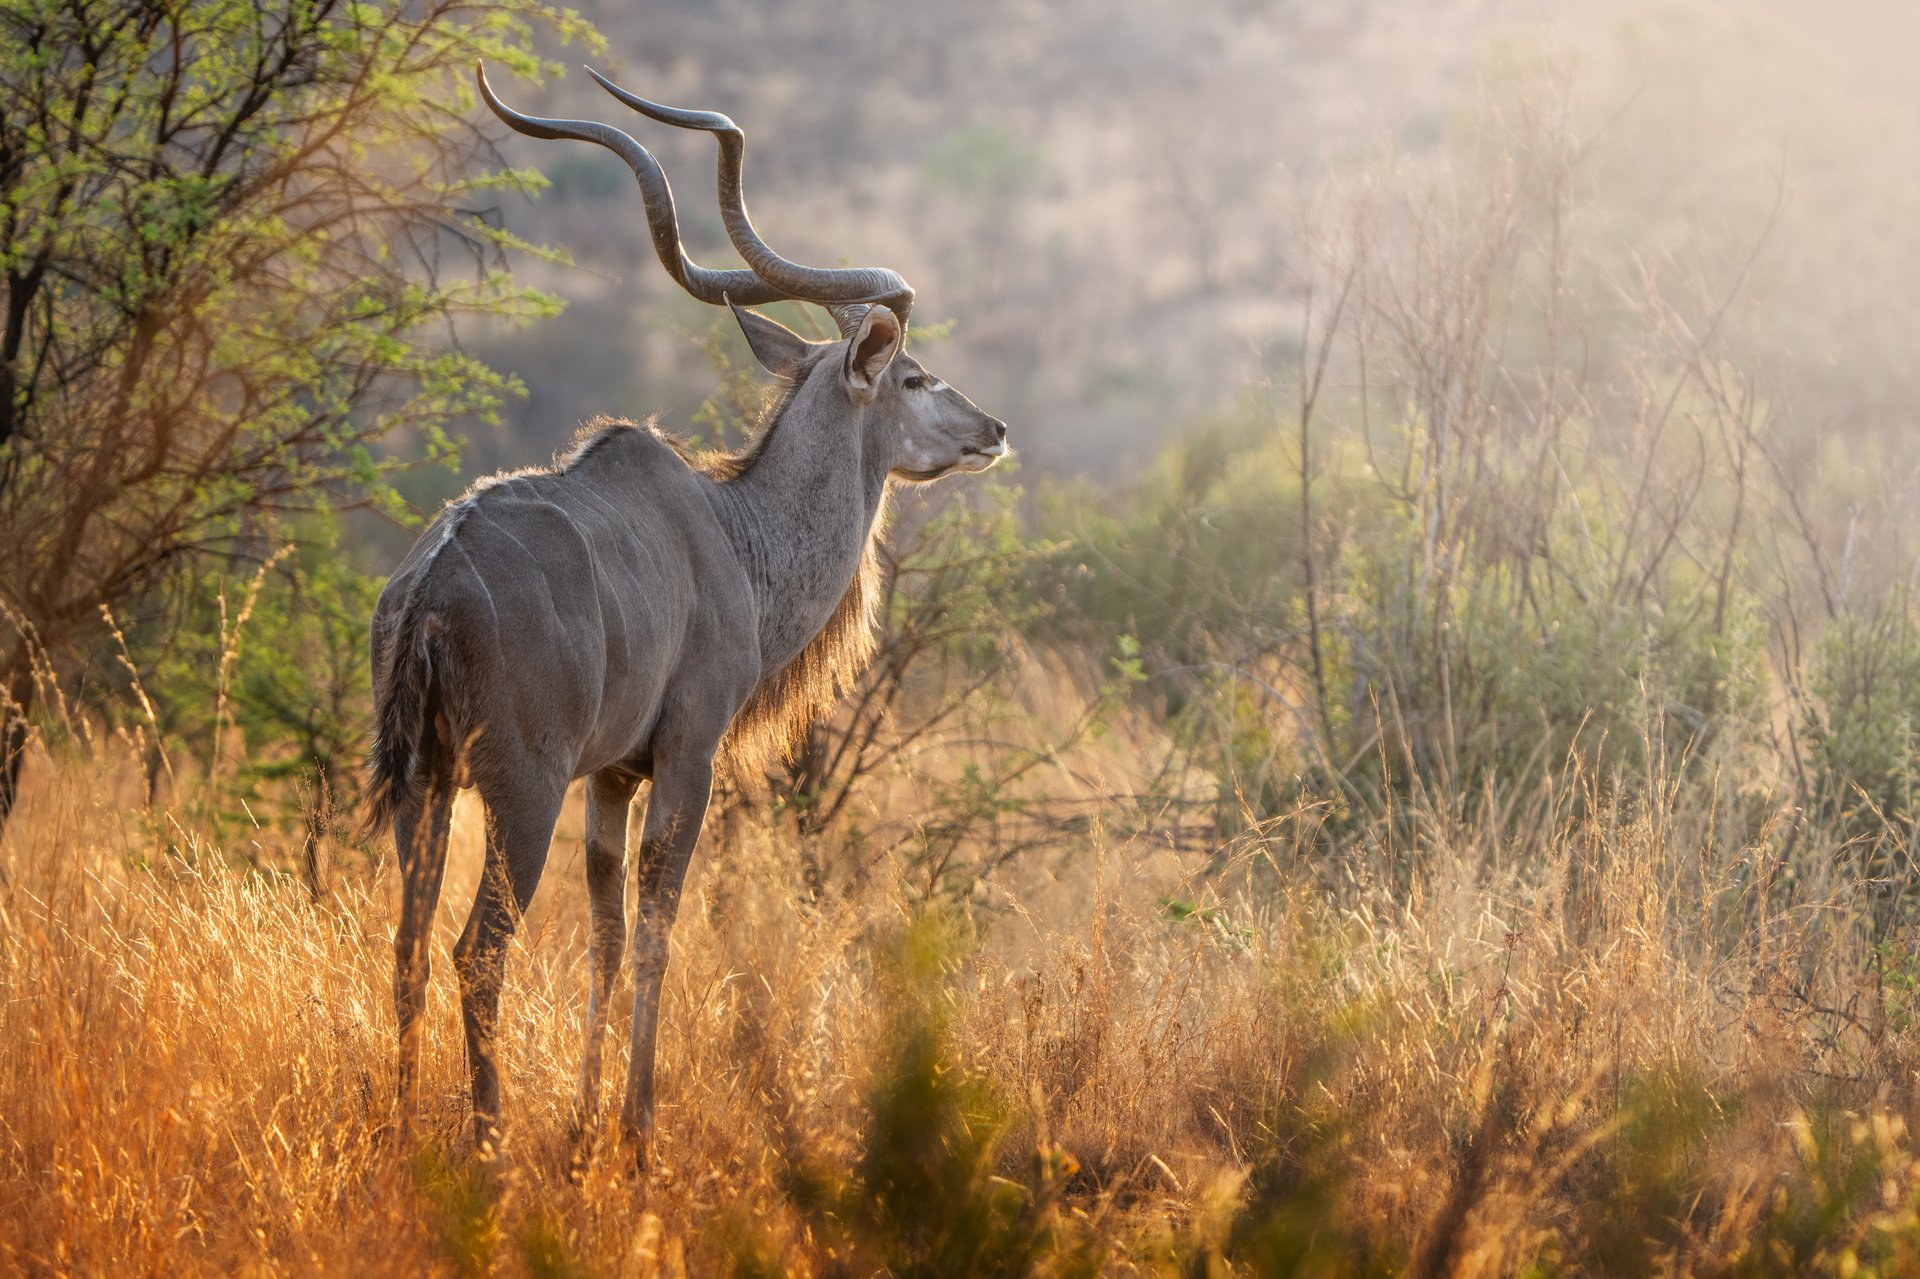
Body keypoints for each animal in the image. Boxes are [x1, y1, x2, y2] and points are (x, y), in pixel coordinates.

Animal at [366, 62, 1008, 1165]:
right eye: (915, 375)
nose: (993, 429)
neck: (735, 535)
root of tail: (429, 592)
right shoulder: (686, 755)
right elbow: (661, 925)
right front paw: (633, 1135)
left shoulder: (612, 778)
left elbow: (607, 931)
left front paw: (583, 1127)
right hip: (518, 787)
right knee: (475, 949)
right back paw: (486, 1147)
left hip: (427, 783)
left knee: (407, 946)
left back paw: (406, 1134)